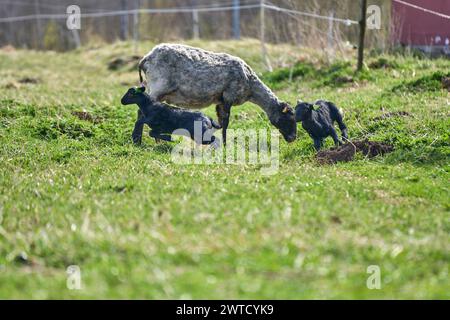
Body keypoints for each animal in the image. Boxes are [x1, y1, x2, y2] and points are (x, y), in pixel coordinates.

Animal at [137, 43, 298, 145]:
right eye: (289, 118)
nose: (292, 138)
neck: (250, 86)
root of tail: (145, 58)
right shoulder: (229, 96)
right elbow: (225, 122)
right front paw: (226, 144)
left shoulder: (220, 101)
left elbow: (221, 122)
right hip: (158, 86)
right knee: (141, 111)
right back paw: (140, 140)